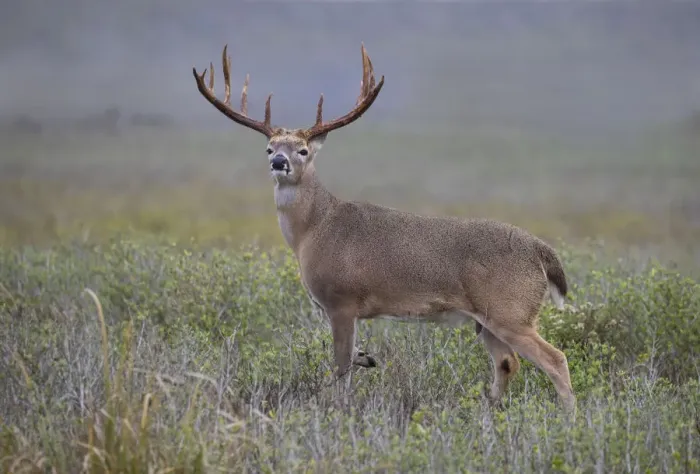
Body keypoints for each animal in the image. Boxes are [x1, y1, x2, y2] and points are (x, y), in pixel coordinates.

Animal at [192, 43, 576, 414]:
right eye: (269, 147)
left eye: (303, 150)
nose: (278, 162)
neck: (315, 229)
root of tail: (542, 251)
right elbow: (352, 360)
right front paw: (366, 360)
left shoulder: (342, 301)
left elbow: (341, 367)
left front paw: (339, 410)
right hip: (487, 321)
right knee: (507, 363)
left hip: (511, 311)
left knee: (555, 359)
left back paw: (569, 421)